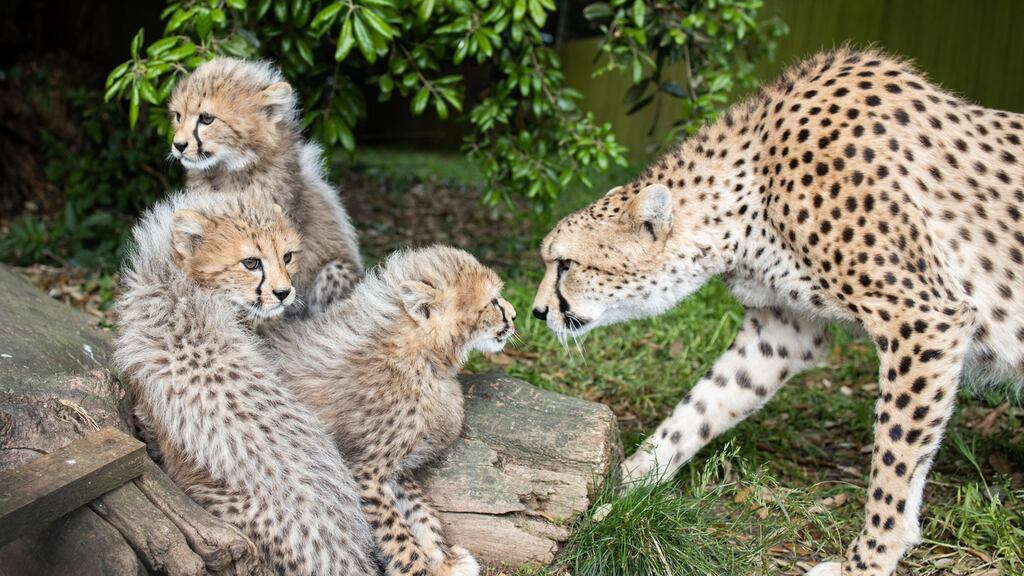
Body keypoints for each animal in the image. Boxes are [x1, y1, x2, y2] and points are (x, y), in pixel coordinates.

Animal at [270, 245, 517, 576]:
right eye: (493, 301)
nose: (514, 315)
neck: (426, 361)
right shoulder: (364, 471)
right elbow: (397, 535)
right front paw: (419, 568)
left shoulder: (395, 470)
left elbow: (422, 512)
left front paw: (443, 561)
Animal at [530, 47, 1024, 576]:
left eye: (565, 264)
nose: (538, 312)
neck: (749, 192)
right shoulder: (784, 330)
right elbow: (705, 403)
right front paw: (628, 482)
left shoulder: (923, 319)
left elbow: (894, 458)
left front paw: (868, 559)